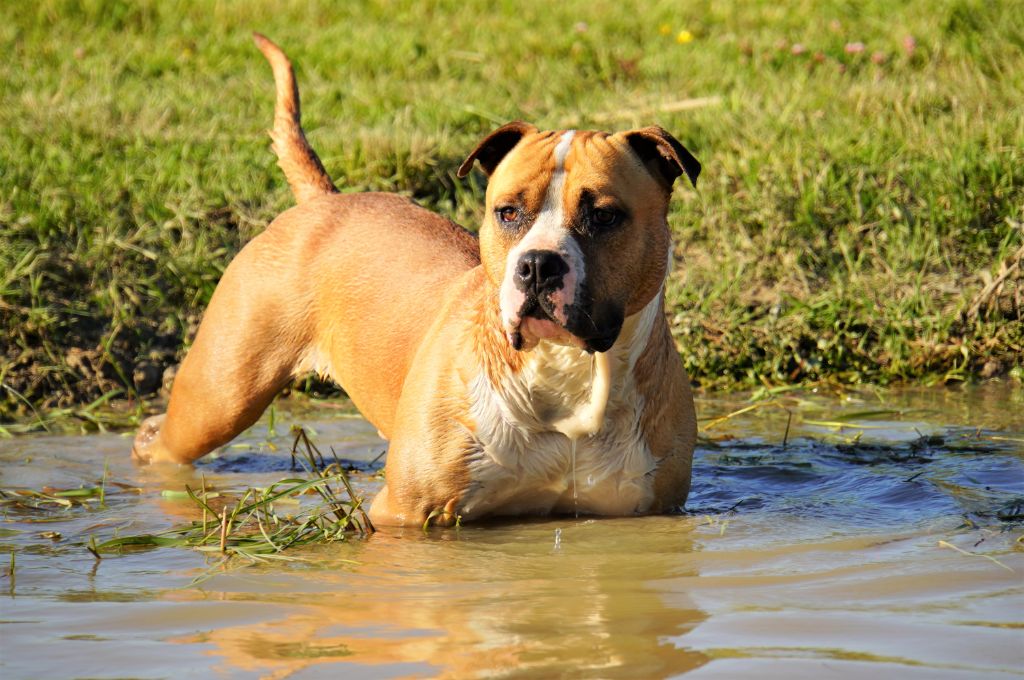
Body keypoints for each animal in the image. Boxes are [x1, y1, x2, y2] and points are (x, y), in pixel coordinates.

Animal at [132, 34, 700, 528]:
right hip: (220, 396)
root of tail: (323, 200)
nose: (537, 265)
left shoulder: (652, 512)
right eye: (508, 212)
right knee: (160, 437)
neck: (565, 372)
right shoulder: (402, 515)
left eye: (604, 216)